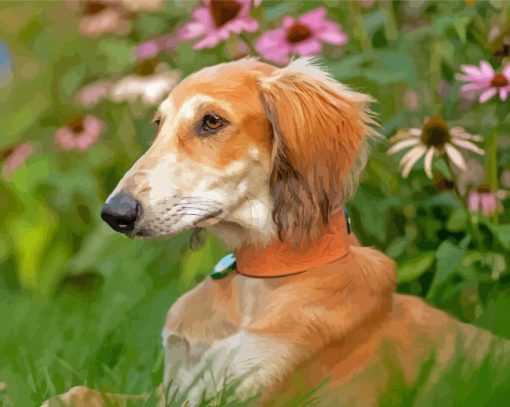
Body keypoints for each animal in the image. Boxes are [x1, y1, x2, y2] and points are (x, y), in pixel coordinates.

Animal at [45, 58, 508, 407]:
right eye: (159, 123)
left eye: (211, 121)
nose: (115, 214)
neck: (258, 281)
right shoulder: (174, 389)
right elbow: (77, 393)